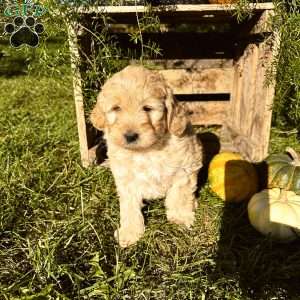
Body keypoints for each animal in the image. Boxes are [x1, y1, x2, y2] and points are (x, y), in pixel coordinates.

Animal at [90, 64, 203, 247]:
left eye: (147, 108)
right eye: (116, 108)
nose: (130, 136)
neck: (146, 150)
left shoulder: (185, 169)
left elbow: (179, 195)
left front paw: (180, 217)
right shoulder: (126, 181)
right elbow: (129, 208)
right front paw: (130, 232)